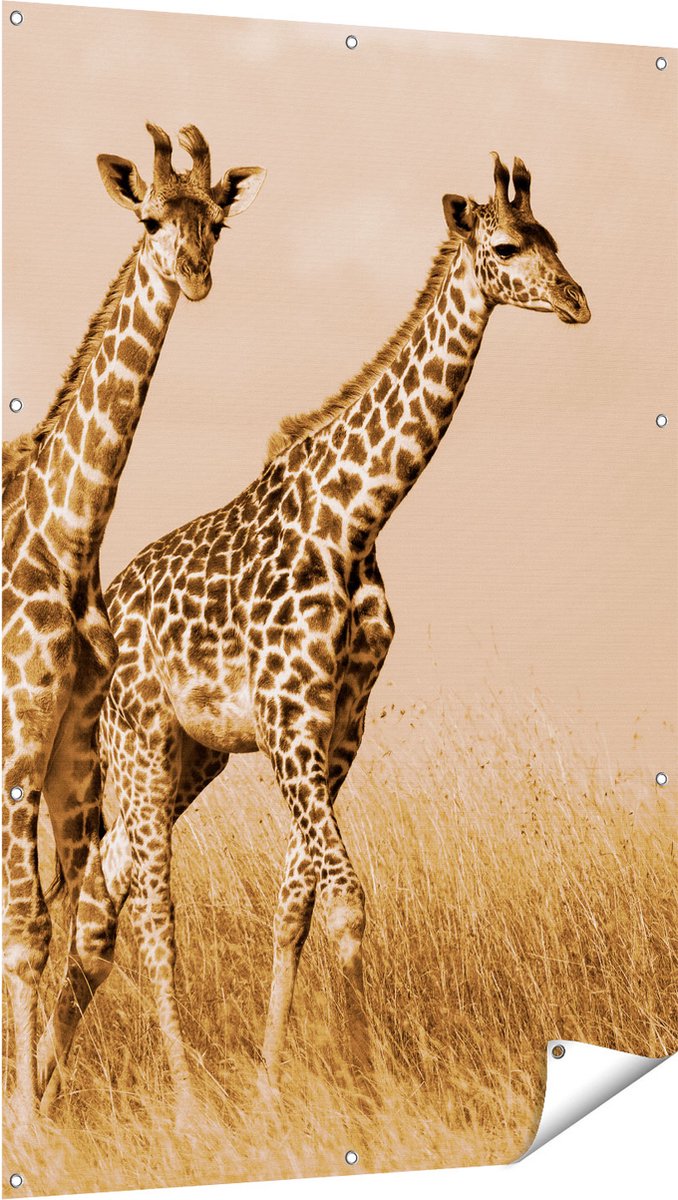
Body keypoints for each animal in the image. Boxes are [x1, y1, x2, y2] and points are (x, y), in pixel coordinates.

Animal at [2, 122, 266, 1122]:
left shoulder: (75, 749)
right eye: (150, 217)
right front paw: (29, 1124)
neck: (69, 539)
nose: (193, 274)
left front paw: (37, 1108)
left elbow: (76, 923)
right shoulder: (18, 733)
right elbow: (26, 927)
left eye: (216, 222)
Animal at [39, 155, 590, 1110]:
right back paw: (182, 1103)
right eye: (506, 247)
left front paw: (271, 1086)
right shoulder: (289, 717)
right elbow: (344, 899)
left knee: (103, 897)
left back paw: (38, 1094)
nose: (577, 299)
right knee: (147, 904)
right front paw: (374, 1087)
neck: (357, 516)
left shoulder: (338, 725)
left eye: (554, 238)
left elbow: (294, 902)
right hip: (138, 742)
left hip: (194, 755)